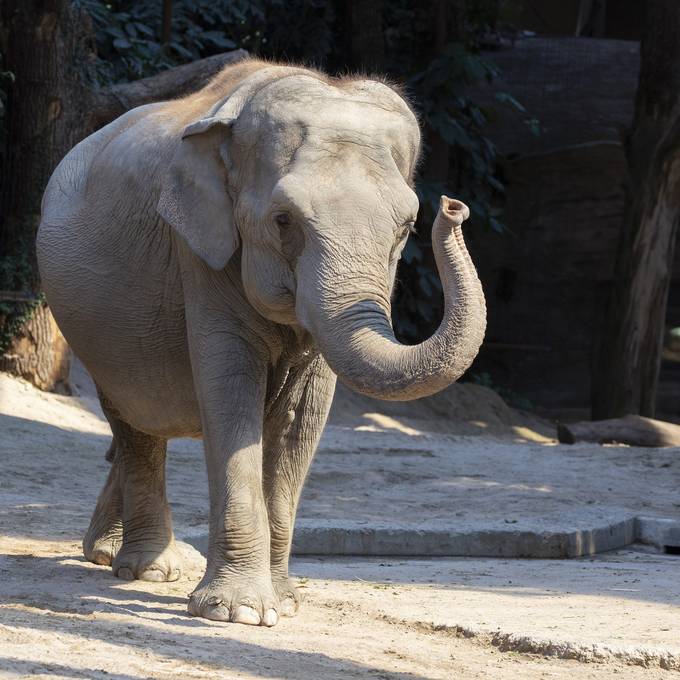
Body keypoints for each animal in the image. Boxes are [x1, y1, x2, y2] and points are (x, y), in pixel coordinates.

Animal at [37, 58, 486, 628]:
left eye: (405, 227)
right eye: (283, 221)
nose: (455, 207)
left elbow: (302, 418)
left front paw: (285, 603)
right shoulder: (200, 252)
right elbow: (230, 391)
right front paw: (240, 614)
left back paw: (118, 556)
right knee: (134, 420)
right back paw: (150, 569)